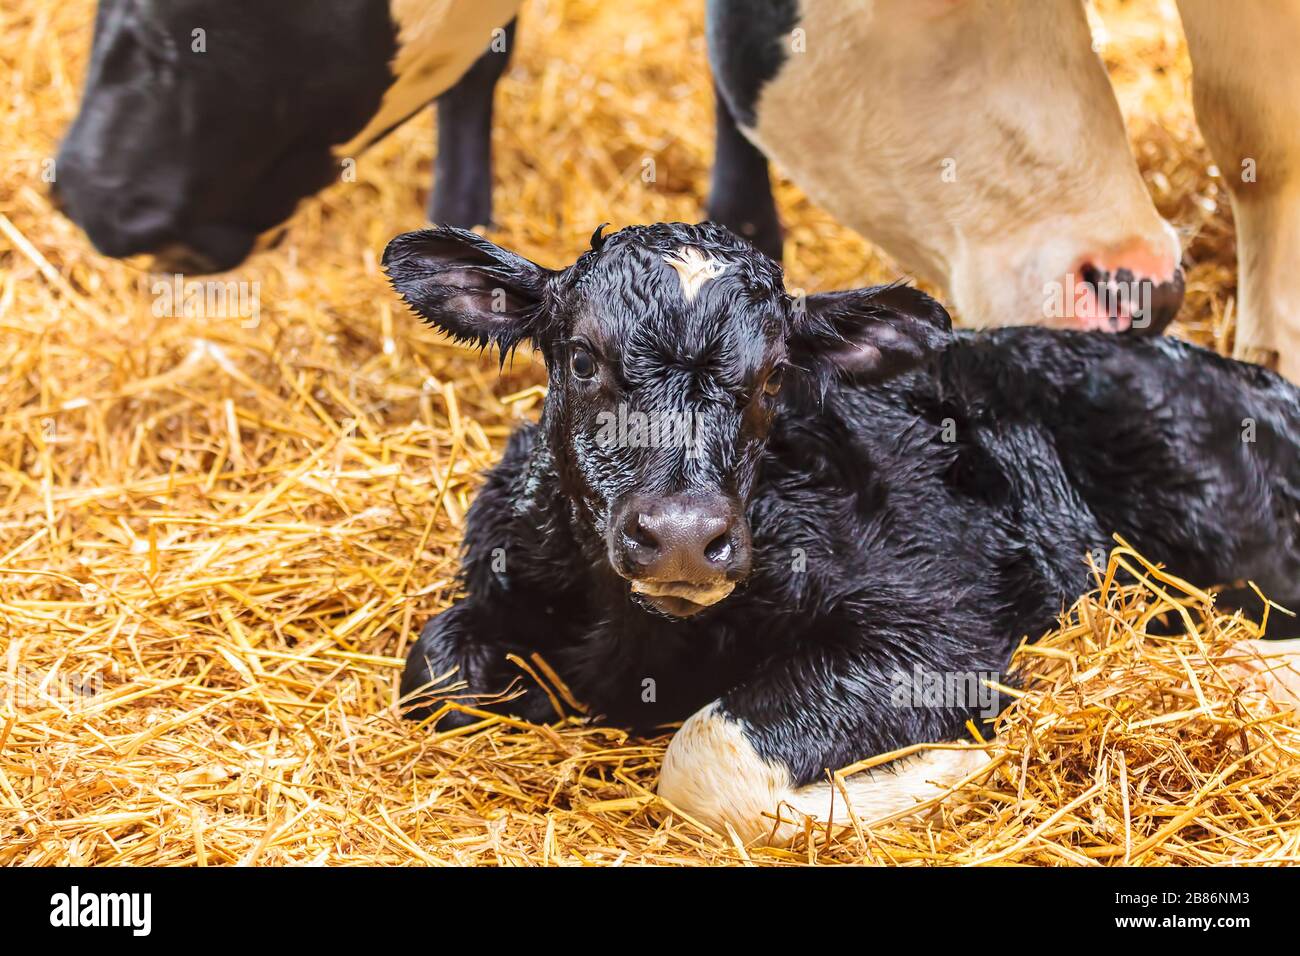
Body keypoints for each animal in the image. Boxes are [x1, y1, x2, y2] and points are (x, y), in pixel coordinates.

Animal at [382, 222, 1300, 842]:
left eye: (772, 378)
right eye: (581, 359)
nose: (681, 535)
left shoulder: (940, 627)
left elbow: (706, 755)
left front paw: (956, 765)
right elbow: (434, 673)